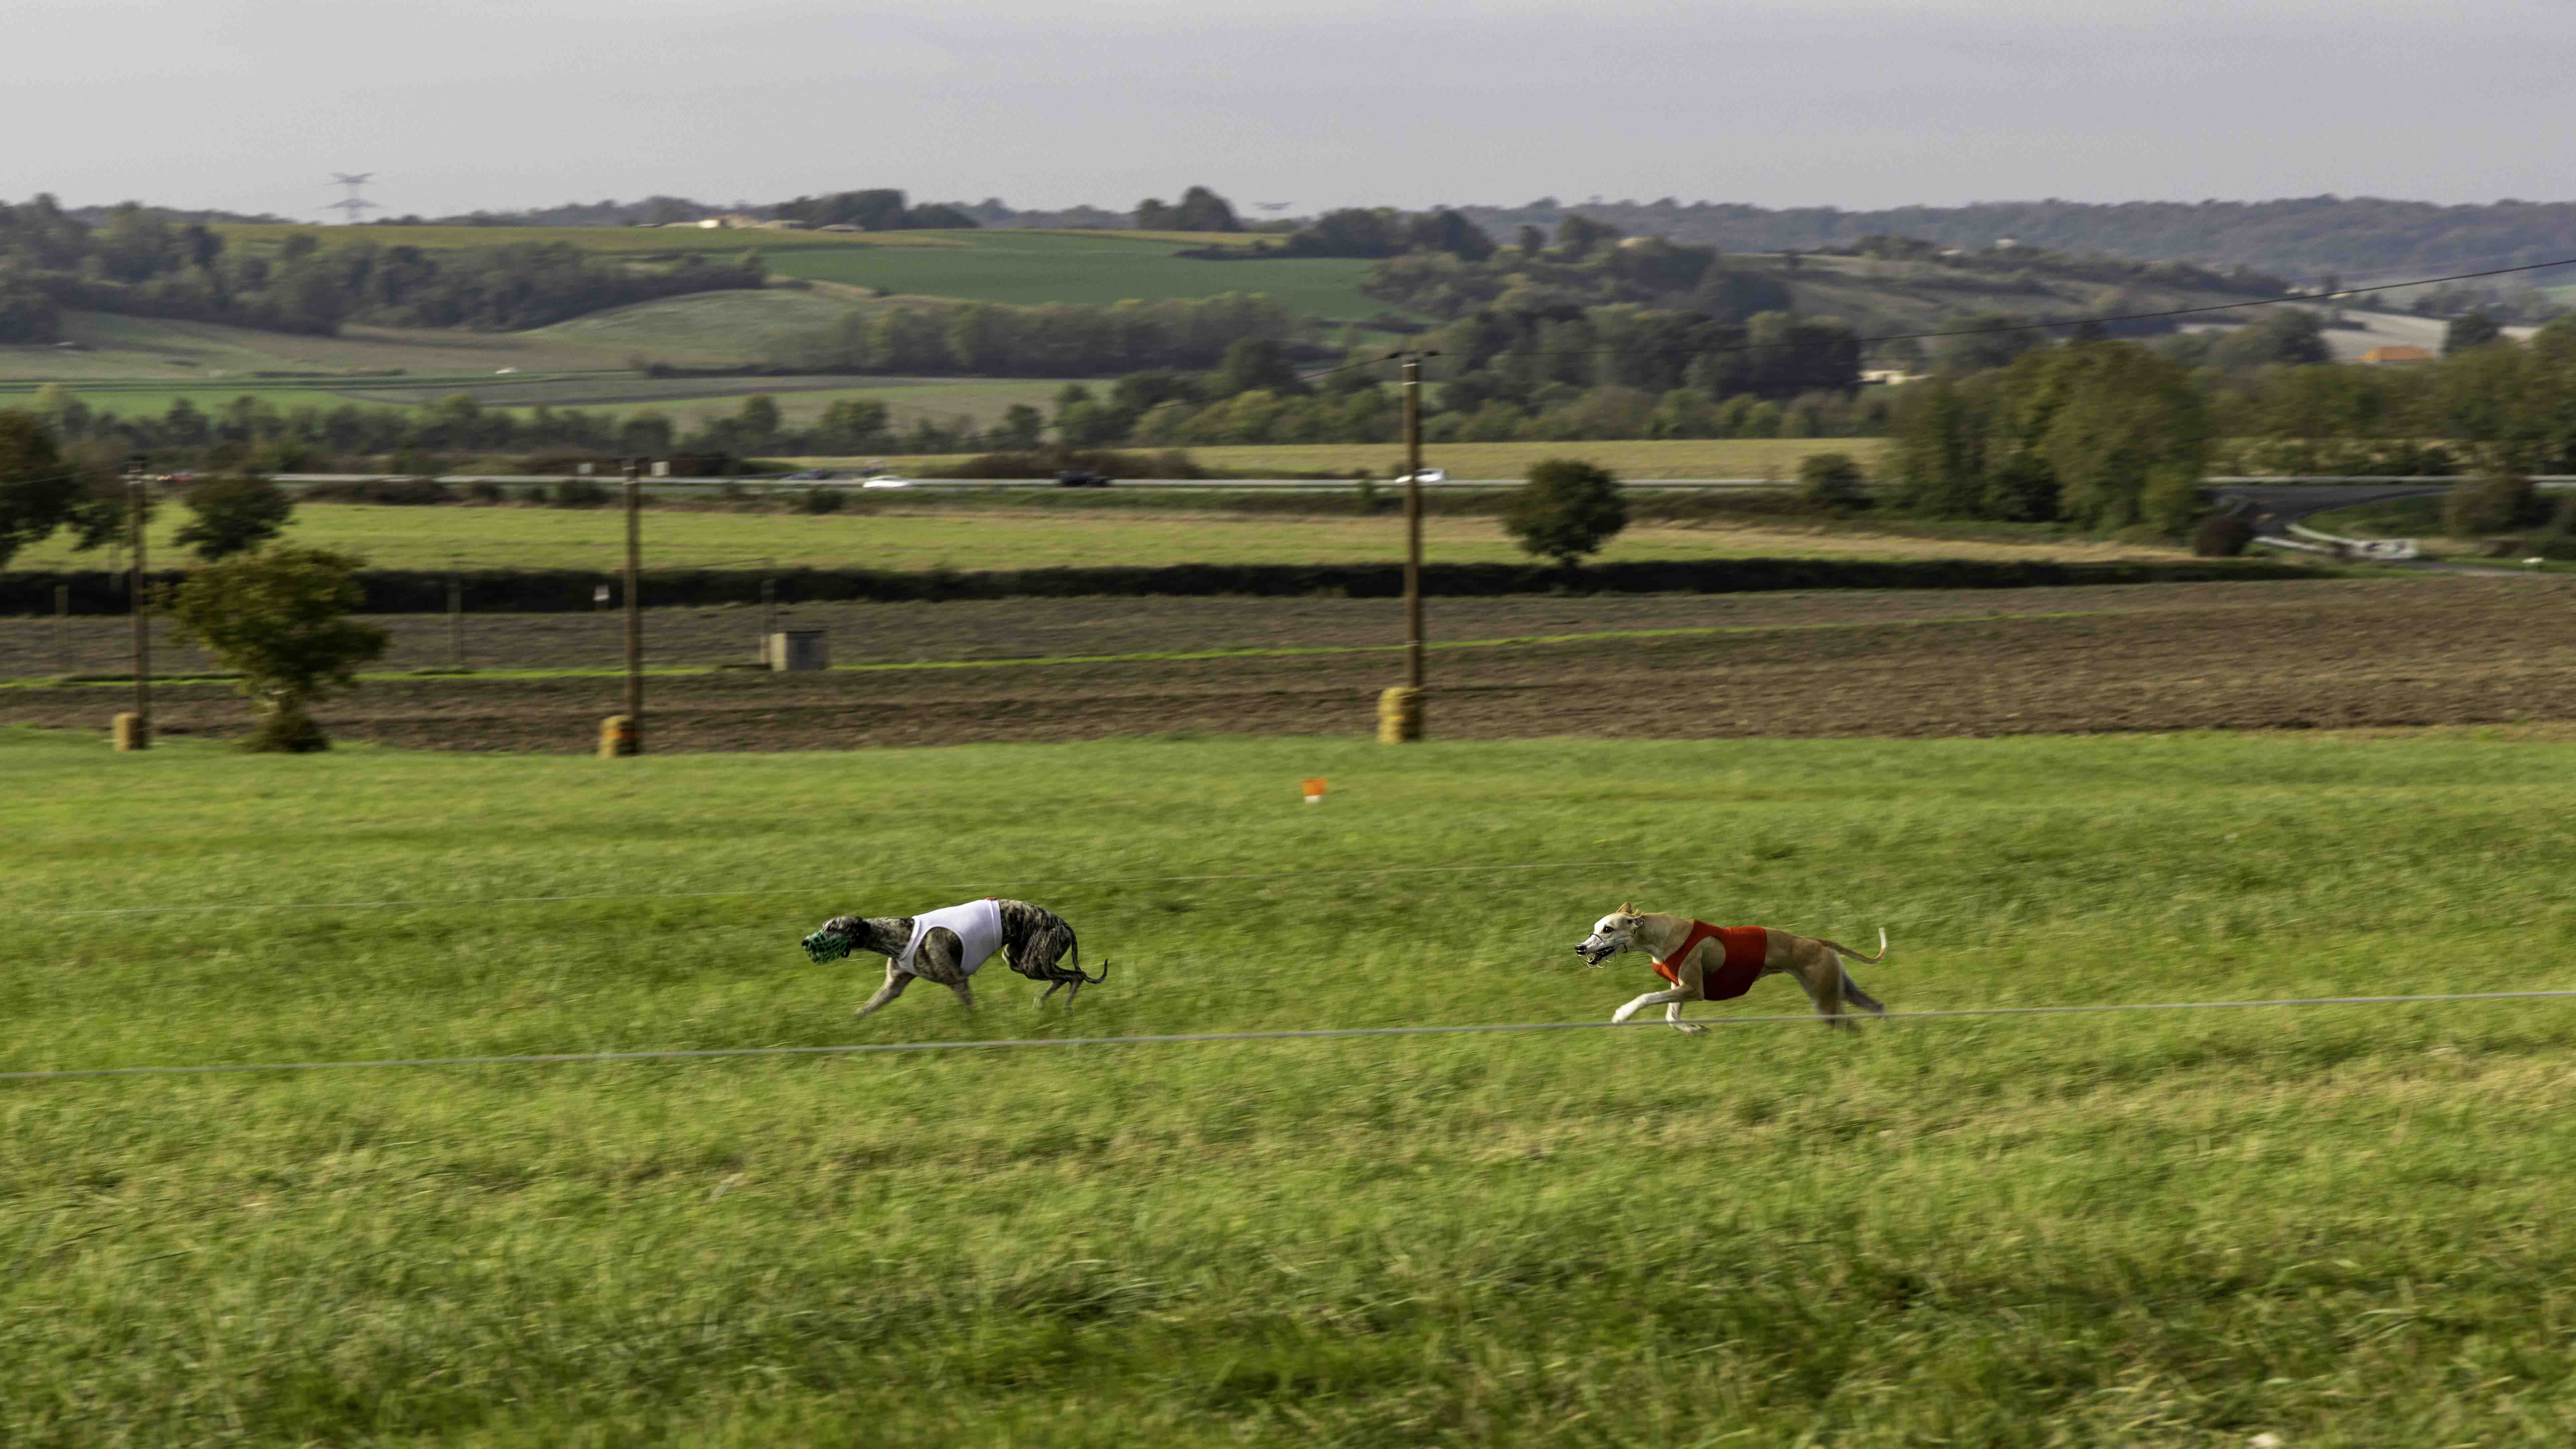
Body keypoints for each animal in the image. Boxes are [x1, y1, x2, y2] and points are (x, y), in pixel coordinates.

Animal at [793, 892, 1097, 1016]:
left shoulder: (957, 981)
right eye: (825, 926)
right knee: (1061, 978)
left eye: (832, 928)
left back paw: (1066, 1007)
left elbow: (972, 1010)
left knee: (1077, 975)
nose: (805, 943)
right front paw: (850, 1024)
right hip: (1018, 960)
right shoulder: (893, 986)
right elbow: (866, 1008)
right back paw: (1043, 1004)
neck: (901, 935)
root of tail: (1064, 924)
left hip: (1033, 962)